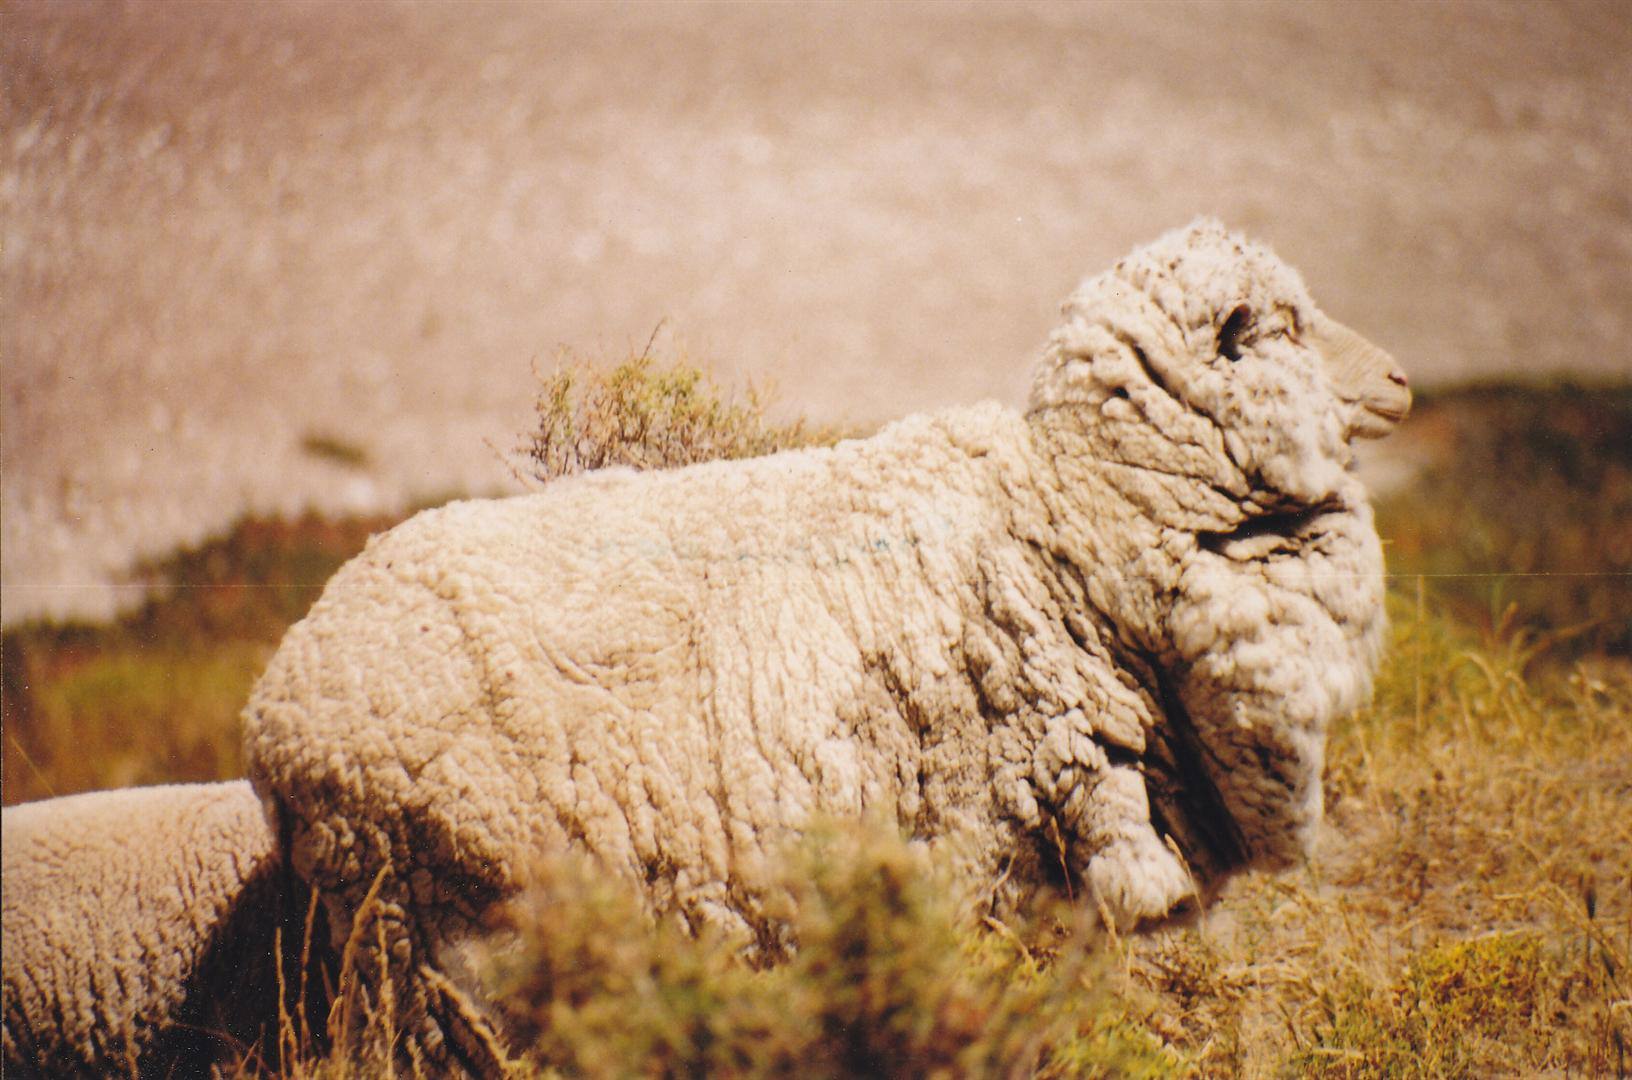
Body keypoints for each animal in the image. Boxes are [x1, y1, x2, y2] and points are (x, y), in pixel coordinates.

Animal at [243, 218, 1410, 1071]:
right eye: (1289, 324)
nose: (1402, 380)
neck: (1066, 524)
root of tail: (274, 714)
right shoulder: (987, 852)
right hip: (446, 939)